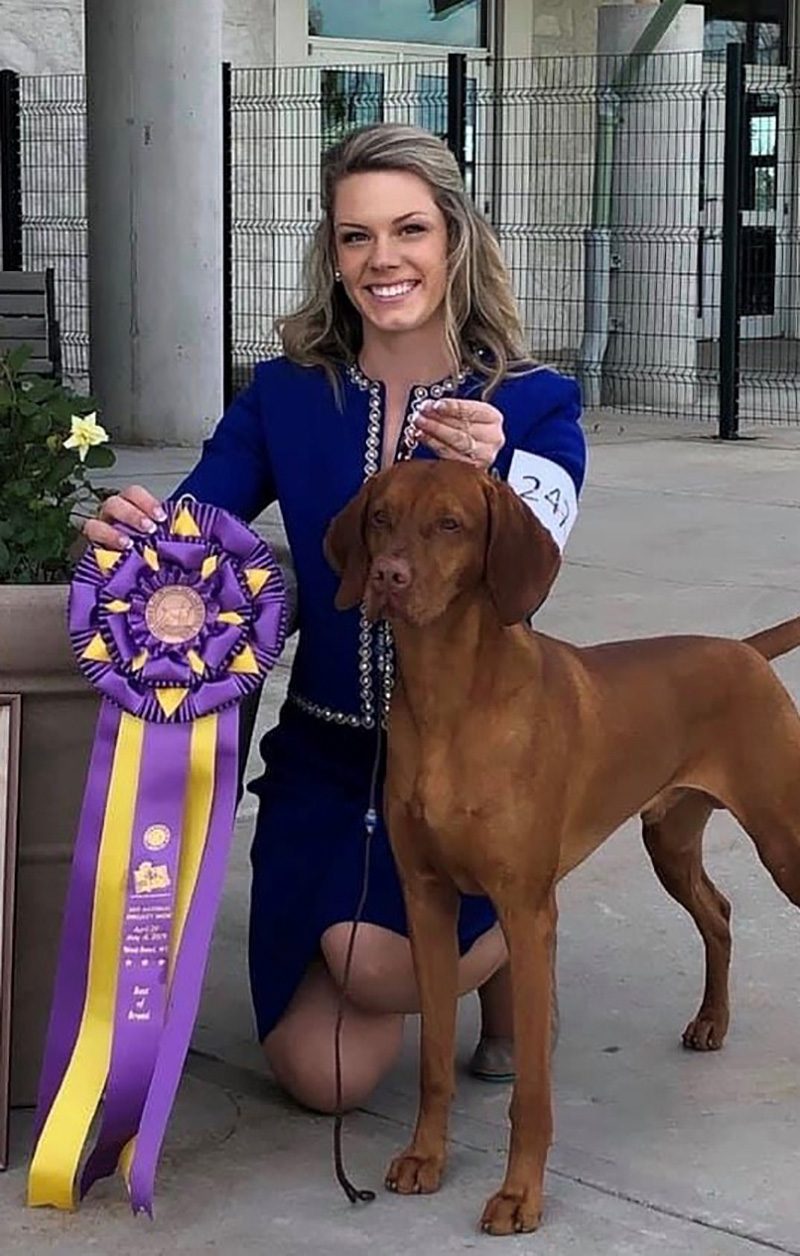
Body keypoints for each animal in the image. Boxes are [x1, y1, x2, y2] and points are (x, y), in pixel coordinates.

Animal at [321, 459, 798, 1235]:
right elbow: (432, 1062)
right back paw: (710, 1022)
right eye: (380, 518)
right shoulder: (427, 899)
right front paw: (426, 1157)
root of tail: (744, 650)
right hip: (670, 839)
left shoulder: (527, 911)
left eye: (450, 524)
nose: (388, 577)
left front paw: (520, 1195)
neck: (451, 698)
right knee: (720, 913)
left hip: (783, 838)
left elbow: (534, 1094)